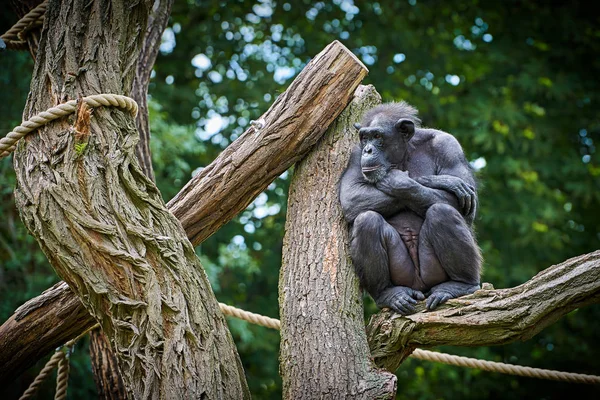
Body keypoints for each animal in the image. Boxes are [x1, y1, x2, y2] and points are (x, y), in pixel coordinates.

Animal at [338, 101, 482, 314]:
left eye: (377, 136)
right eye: (365, 138)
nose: (368, 150)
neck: (404, 152)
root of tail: (420, 288)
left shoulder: (449, 146)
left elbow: (462, 203)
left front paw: (406, 180)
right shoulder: (355, 155)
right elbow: (352, 195)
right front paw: (443, 181)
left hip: (432, 274)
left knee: (442, 212)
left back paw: (462, 284)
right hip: (403, 276)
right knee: (367, 221)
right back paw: (388, 293)